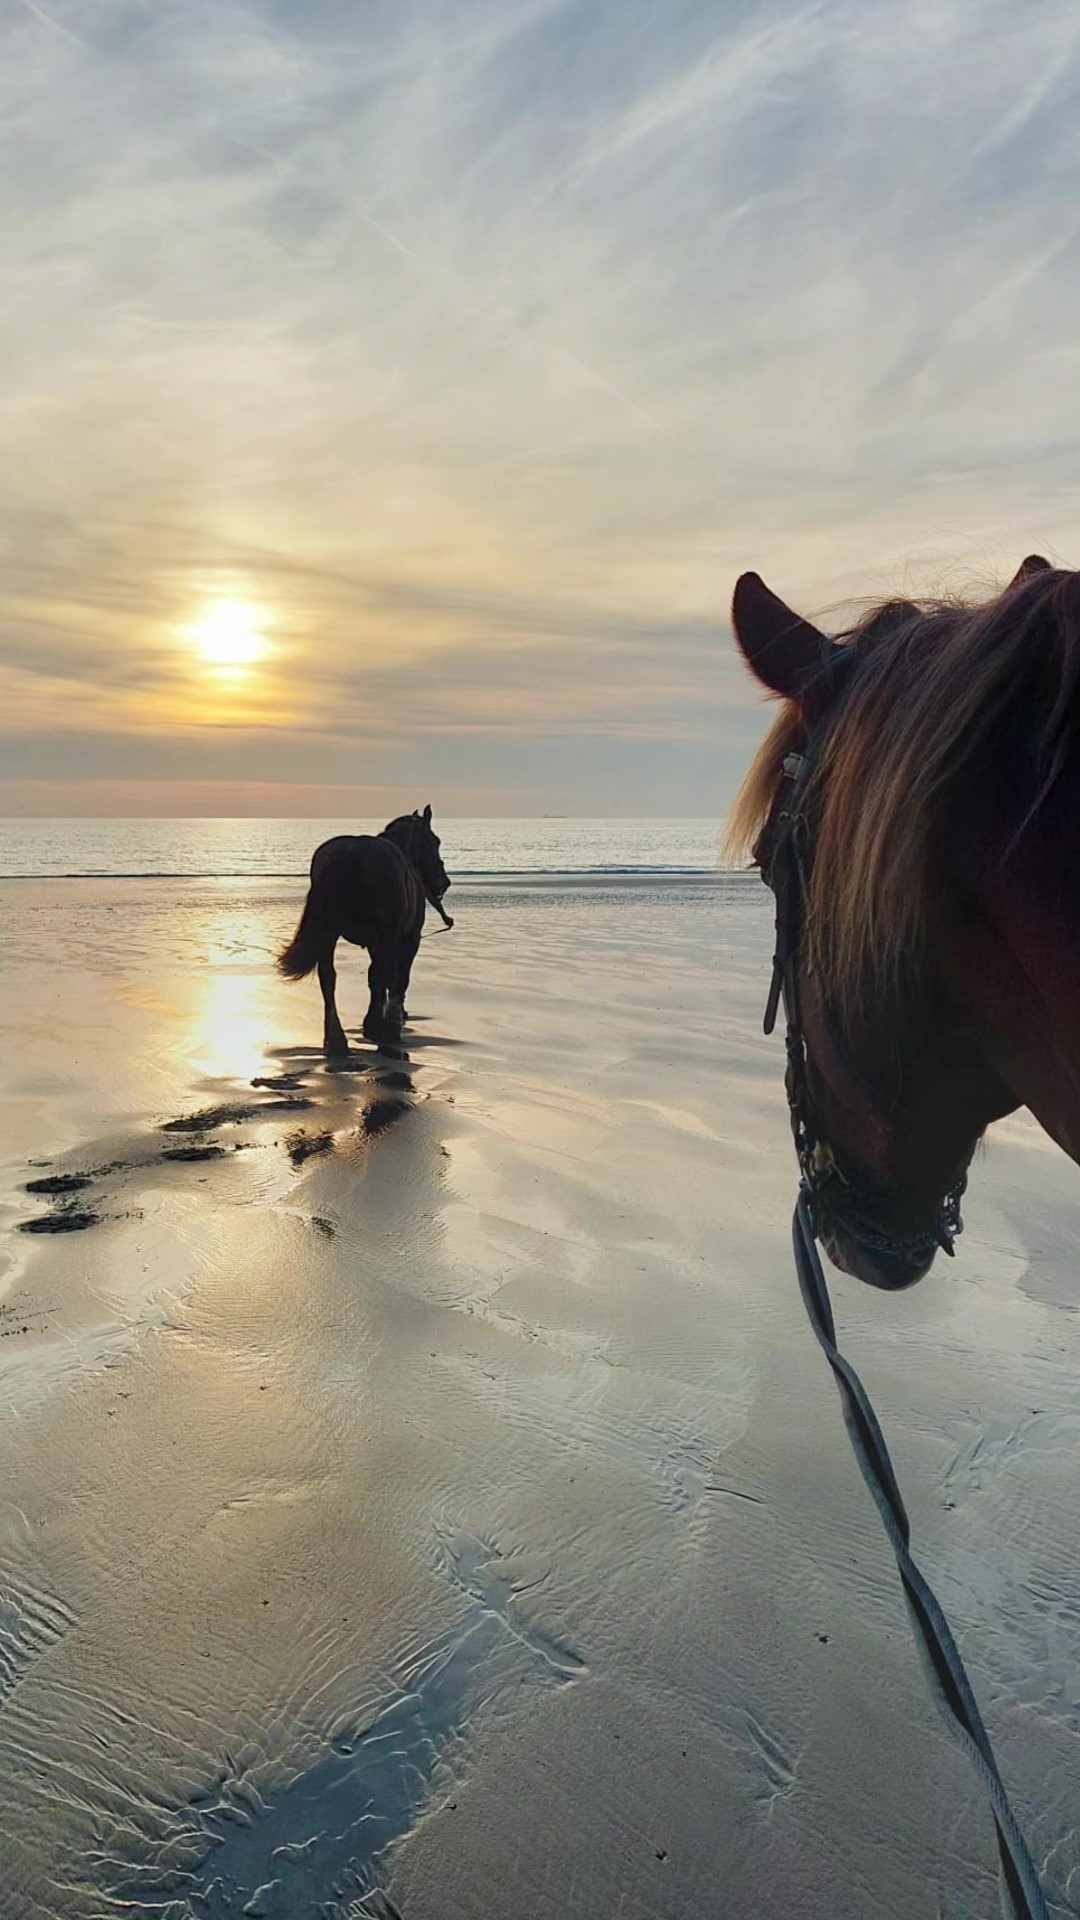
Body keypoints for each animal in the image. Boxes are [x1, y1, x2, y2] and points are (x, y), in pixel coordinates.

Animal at [276, 806, 449, 1059]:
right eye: (435, 841)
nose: (443, 882)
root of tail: (349, 854)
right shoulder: (406, 940)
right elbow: (397, 978)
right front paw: (390, 1018)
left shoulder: (376, 944)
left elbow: (374, 977)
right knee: (381, 974)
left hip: (328, 935)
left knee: (329, 979)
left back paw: (336, 1040)